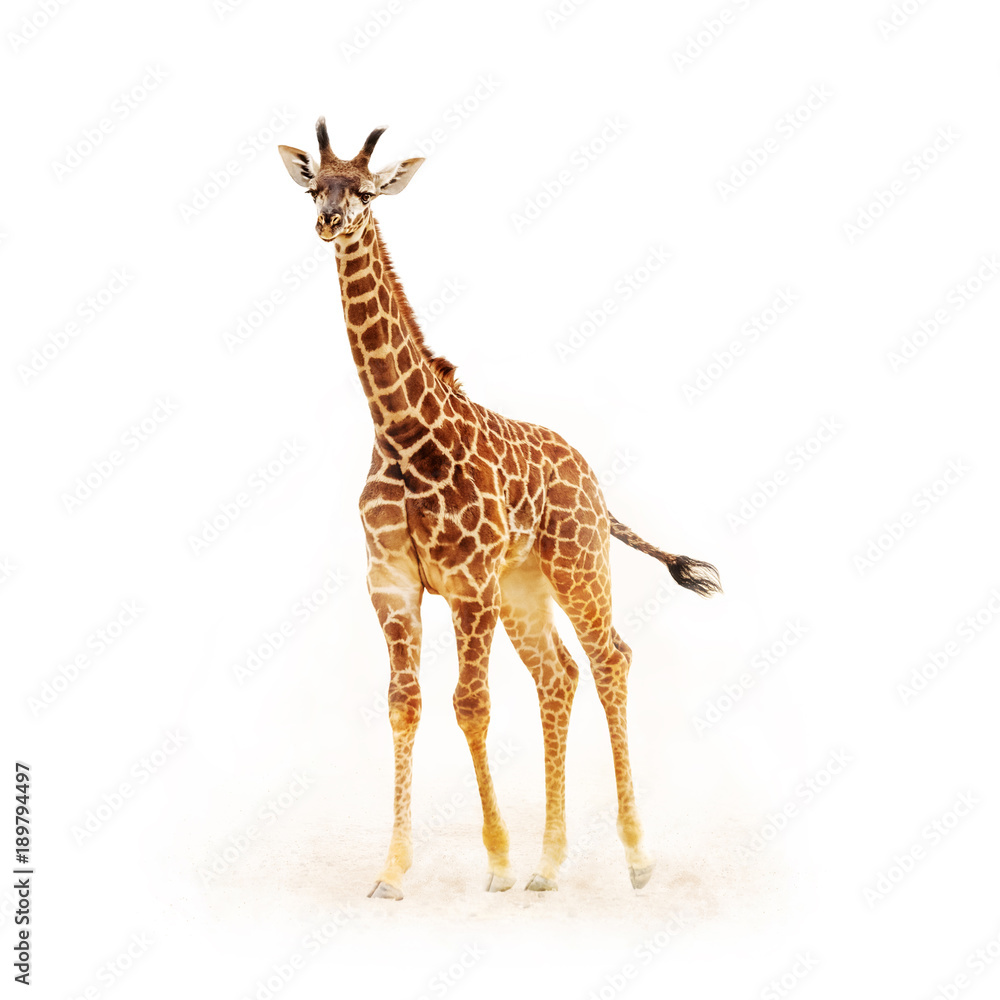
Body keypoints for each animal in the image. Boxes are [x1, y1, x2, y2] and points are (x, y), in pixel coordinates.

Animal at [278, 120, 722, 900]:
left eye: (366, 190)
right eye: (314, 187)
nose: (330, 221)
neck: (403, 433)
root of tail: (595, 484)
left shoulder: (468, 585)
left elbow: (470, 704)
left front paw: (497, 861)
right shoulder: (392, 586)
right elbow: (405, 704)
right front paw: (392, 871)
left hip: (577, 564)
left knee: (609, 659)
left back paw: (636, 858)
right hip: (525, 585)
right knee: (559, 675)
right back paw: (550, 866)